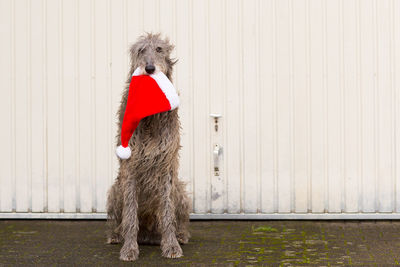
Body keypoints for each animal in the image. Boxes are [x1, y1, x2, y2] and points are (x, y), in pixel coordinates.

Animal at [106, 33, 191, 262]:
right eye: (141, 50)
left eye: (160, 49)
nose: (150, 68)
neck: (150, 115)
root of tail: (149, 234)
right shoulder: (130, 167)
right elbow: (130, 214)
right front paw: (129, 248)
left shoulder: (166, 165)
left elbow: (168, 212)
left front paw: (171, 245)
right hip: (115, 189)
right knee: (119, 218)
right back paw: (116, 235)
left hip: (180, 190)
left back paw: (180, 235)